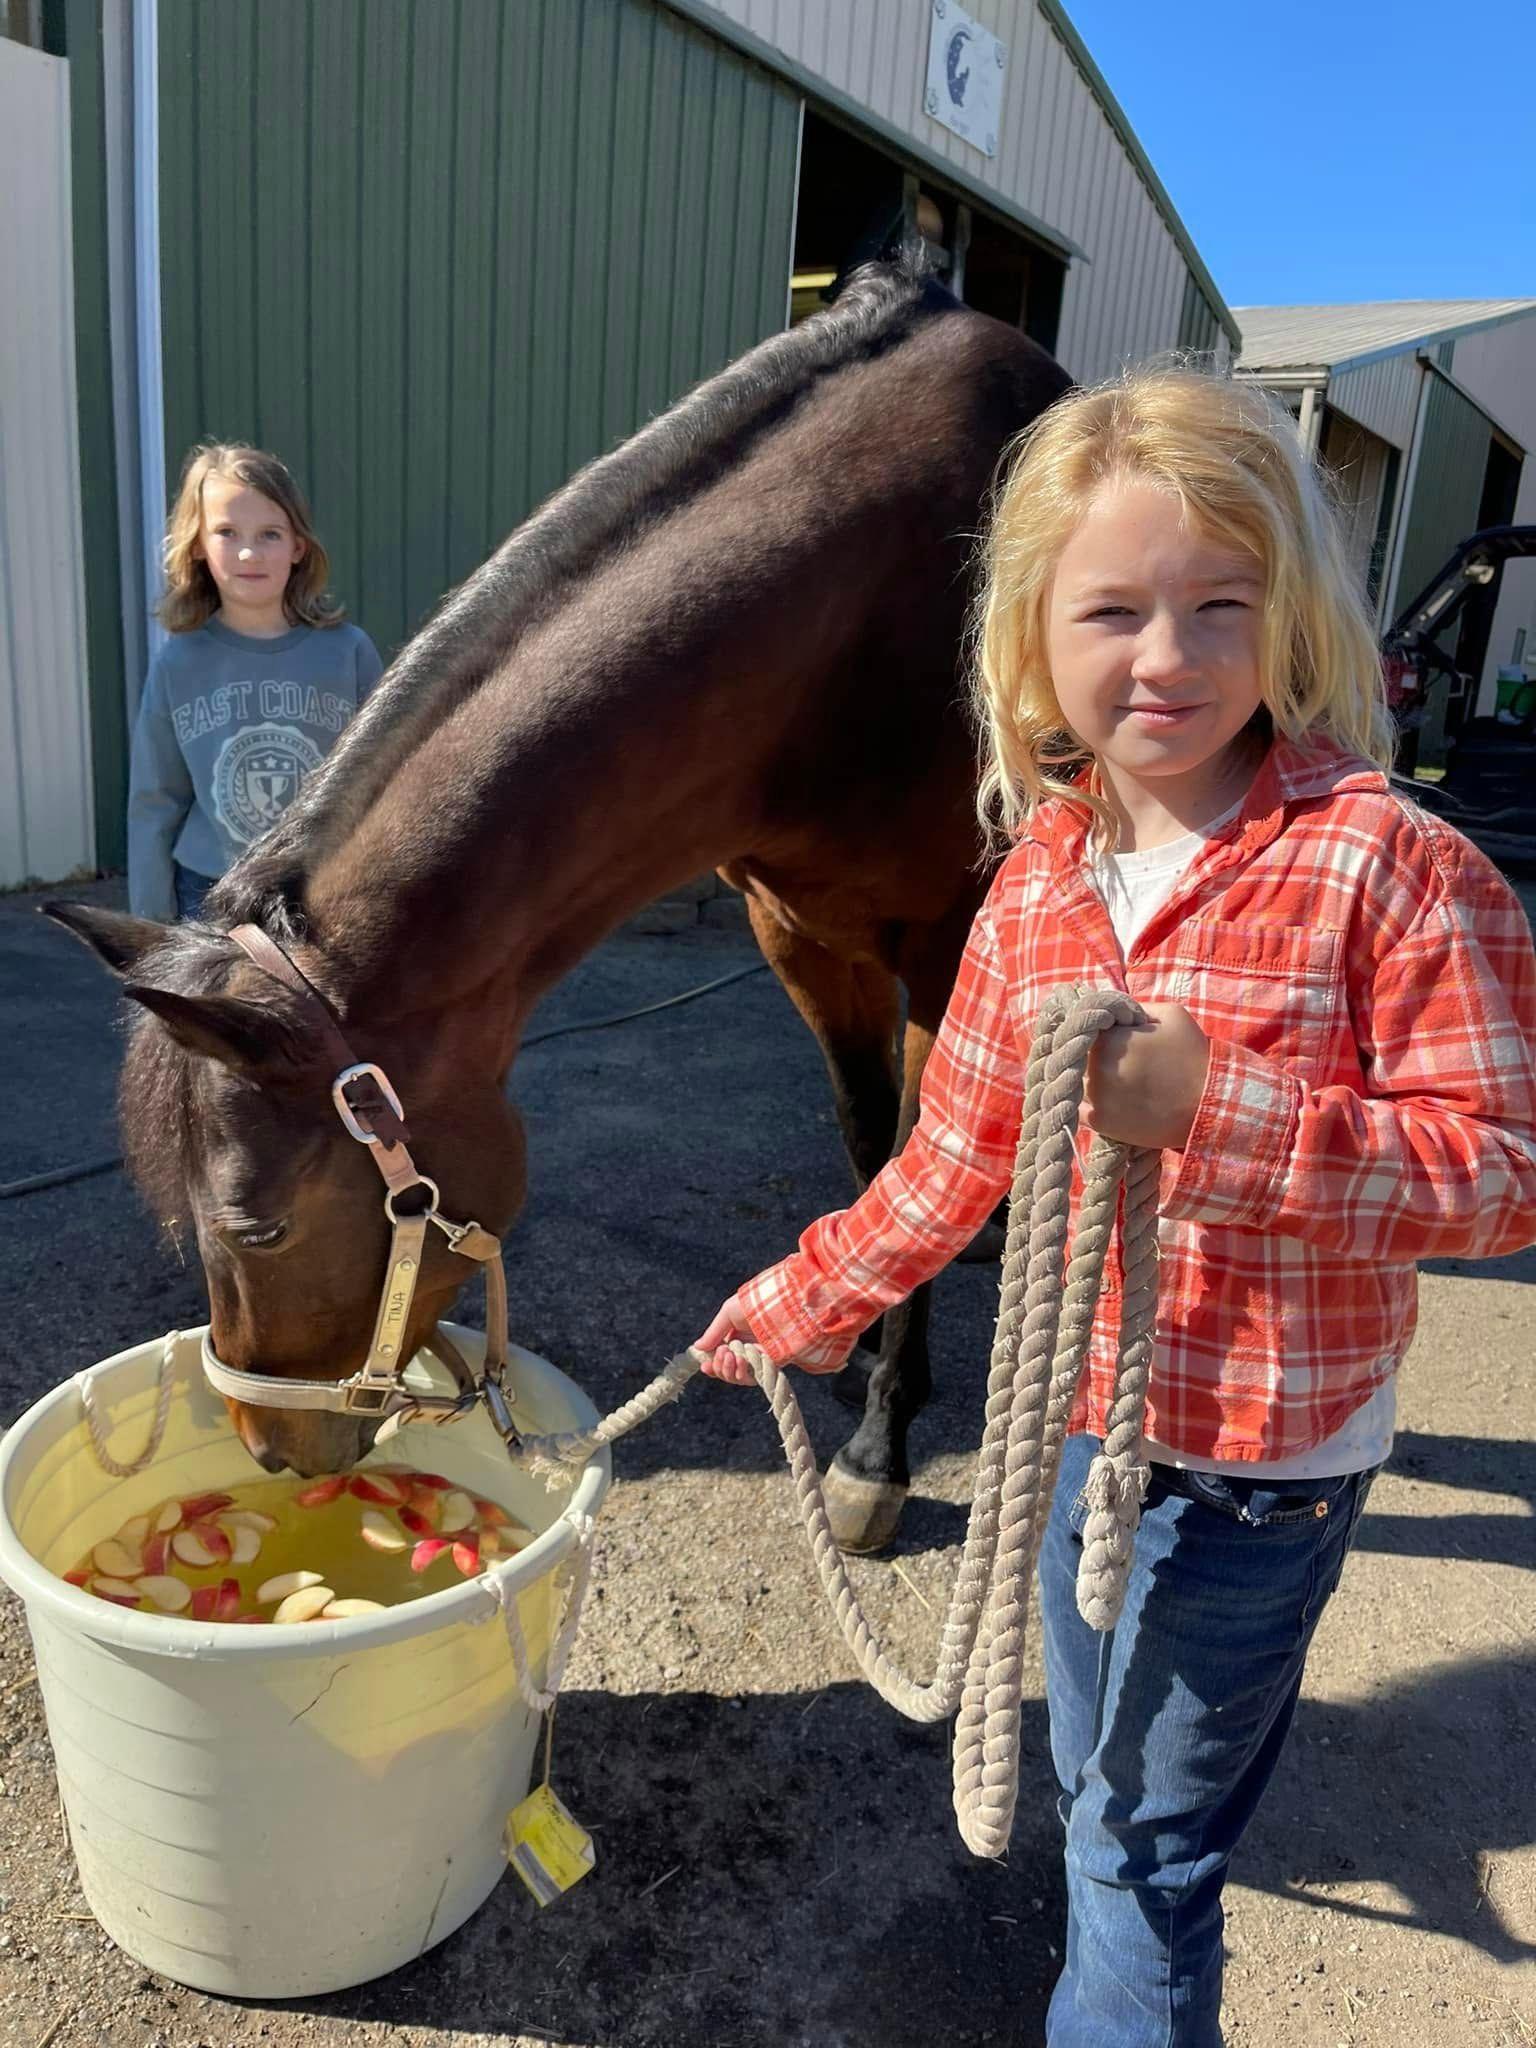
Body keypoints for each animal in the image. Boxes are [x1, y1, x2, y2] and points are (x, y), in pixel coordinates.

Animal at [50, 263, 1070, 1554]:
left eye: (259, 1229)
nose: (269, 1445)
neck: (873, 615)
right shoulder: (794, 929)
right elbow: (873, 1140)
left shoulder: (951, 938)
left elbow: (919, 1145)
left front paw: (880, 1445)